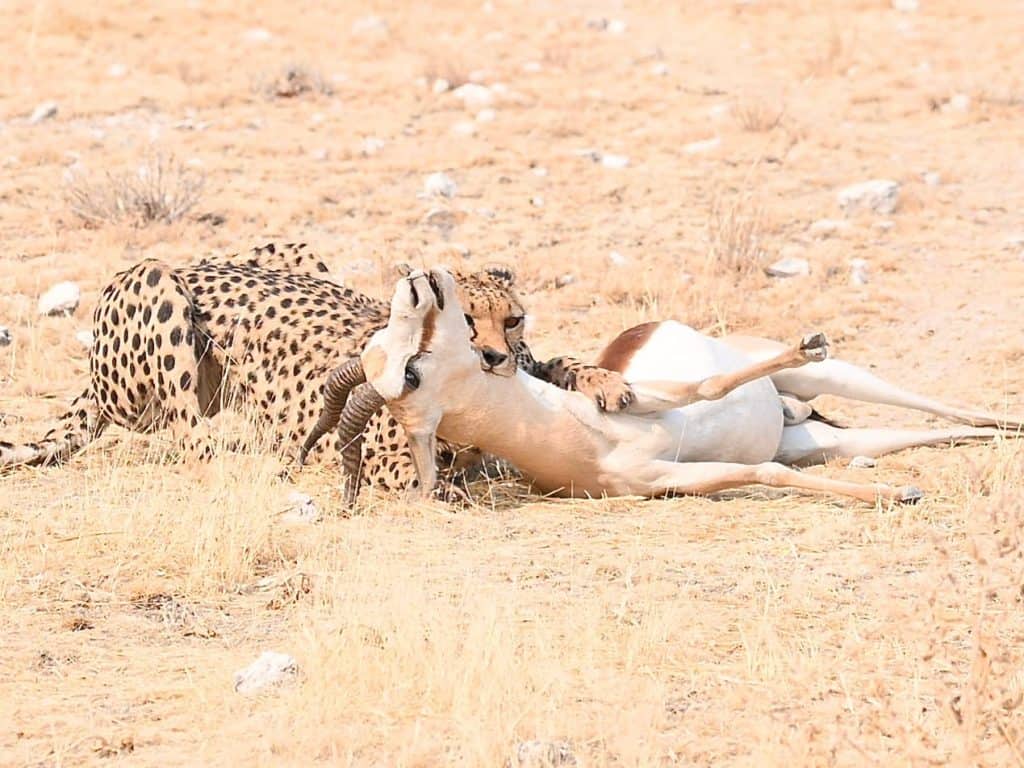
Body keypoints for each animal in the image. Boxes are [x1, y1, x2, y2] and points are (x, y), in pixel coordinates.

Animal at [0, 242, 634, 496]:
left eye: (513, 320)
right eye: (466, 320)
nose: (494, 358)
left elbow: (558, 364)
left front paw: (608, 381)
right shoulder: (376, 453)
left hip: (295, 254)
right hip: (154, 282)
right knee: (193, 443)